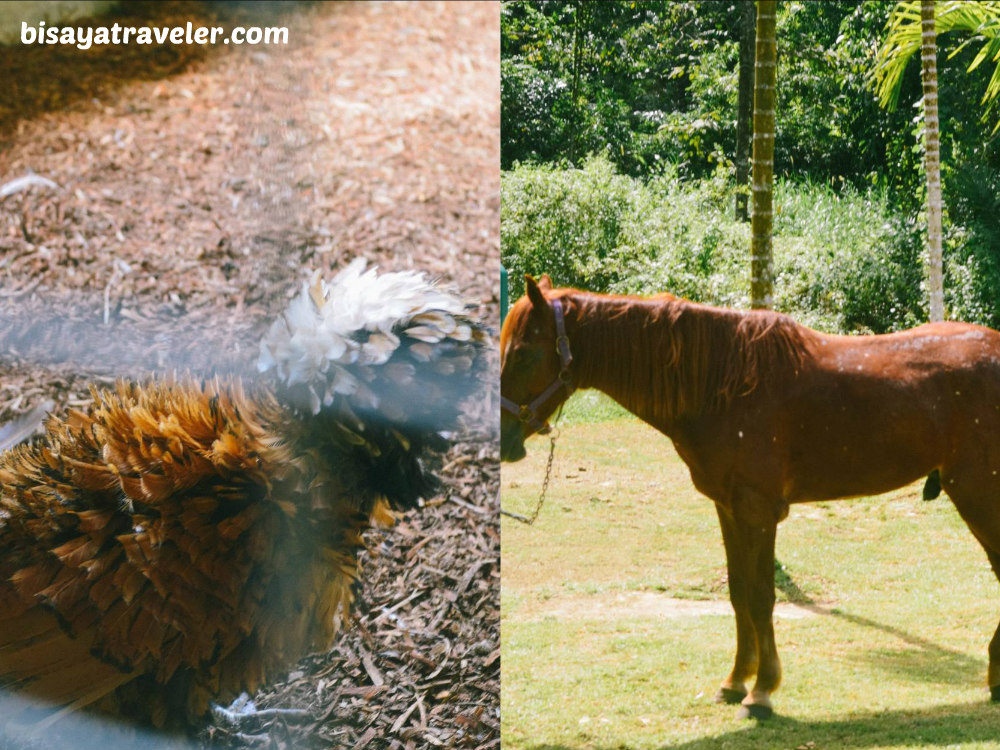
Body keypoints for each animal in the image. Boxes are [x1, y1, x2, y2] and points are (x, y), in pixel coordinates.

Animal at [500, 274, 1000, 720]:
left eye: (523, 354)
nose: (503, 441)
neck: (721, 383)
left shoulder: (757, 510)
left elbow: (761, 596)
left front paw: (762, 692)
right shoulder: (728, 508)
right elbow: (739, 592)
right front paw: (736, 680)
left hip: (978, 493)